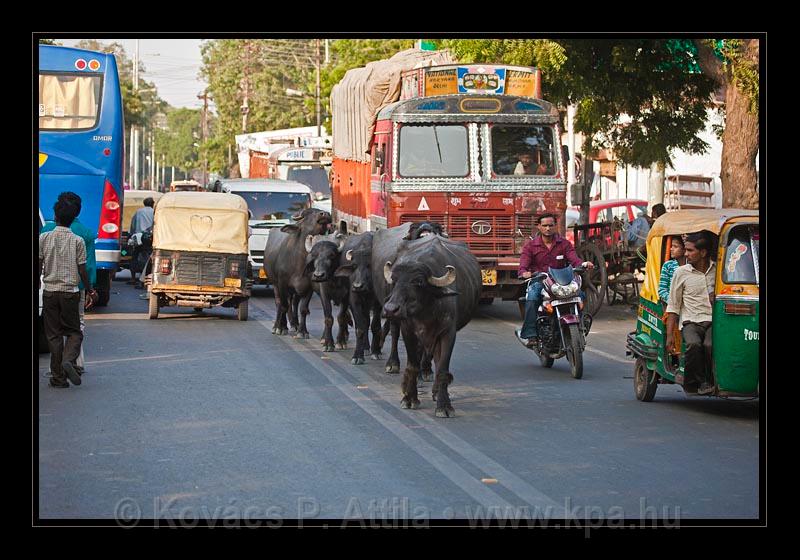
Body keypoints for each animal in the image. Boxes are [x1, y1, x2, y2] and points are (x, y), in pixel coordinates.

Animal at [382, 234, 482, 418]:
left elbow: (442, 368)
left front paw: (444, 405)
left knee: (437, 360)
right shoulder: (408, 331)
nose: (391, 309)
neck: (426, 312)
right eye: (394, 280)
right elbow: (413, 365)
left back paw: (436, 392)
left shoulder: (448, 333)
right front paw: (409, 398)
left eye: (419, 282)